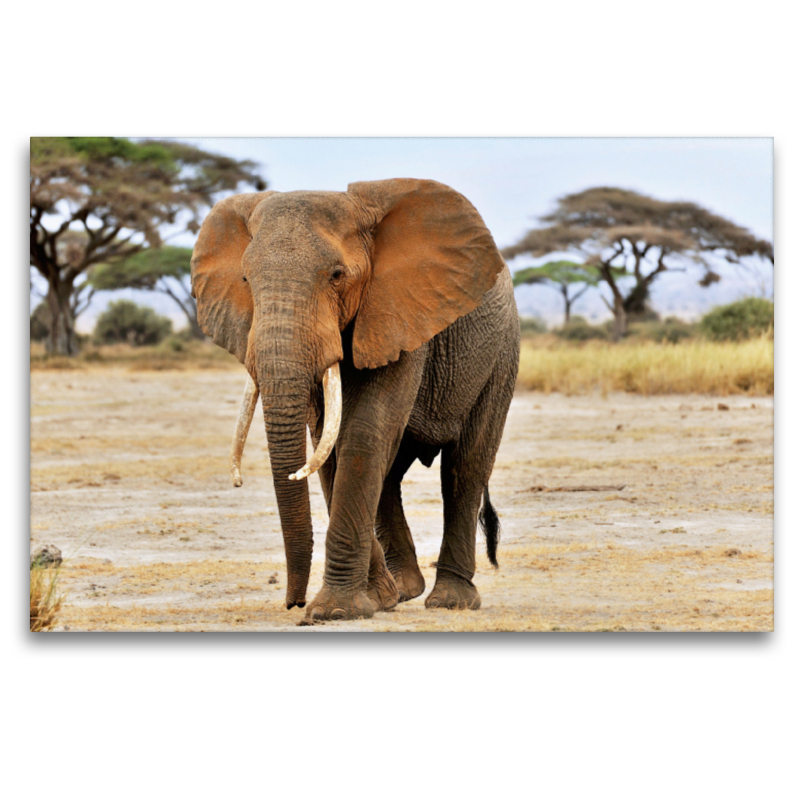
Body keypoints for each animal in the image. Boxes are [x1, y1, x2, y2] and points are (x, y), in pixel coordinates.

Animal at [191, 178, 520, 620]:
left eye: (336, 275)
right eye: (245, 279)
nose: (294, 603)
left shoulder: (400, 312)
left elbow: (364, 432)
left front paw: (335, 611)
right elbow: (328, 444)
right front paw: (377, 599)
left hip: (500, 357)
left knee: (464, 469)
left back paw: (450, 601)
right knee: (391, 475)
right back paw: (404, 589)